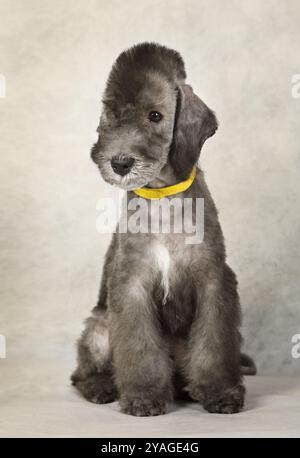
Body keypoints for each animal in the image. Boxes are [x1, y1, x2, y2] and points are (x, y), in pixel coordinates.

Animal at [71, 42, 255, 416]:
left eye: (155, 116)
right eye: (112, 113)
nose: (120, 163)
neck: (162, 195)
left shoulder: (213, 280)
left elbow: (214, 347)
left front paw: (222, 393)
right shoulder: (131, 285)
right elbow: (139, 348)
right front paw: (142, 396)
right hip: (100, 326)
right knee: (83, 372)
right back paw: (102, 387)